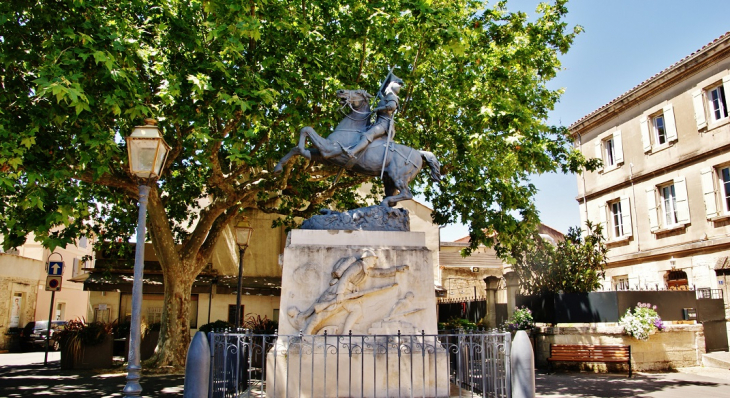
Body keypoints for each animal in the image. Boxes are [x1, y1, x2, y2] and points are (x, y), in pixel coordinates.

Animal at [272, 89, 438, 207]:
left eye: (358, 92)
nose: (340, 91)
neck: (352, 128)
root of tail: (419, 153)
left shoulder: (329, 150)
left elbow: (306, 129)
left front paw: (302, 150)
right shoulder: (325, 156)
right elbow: (296, 148)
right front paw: (278, 168)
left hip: (398, 176)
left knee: (407, 194)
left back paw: (384, 203)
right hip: (389, 179)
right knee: (395, 197)